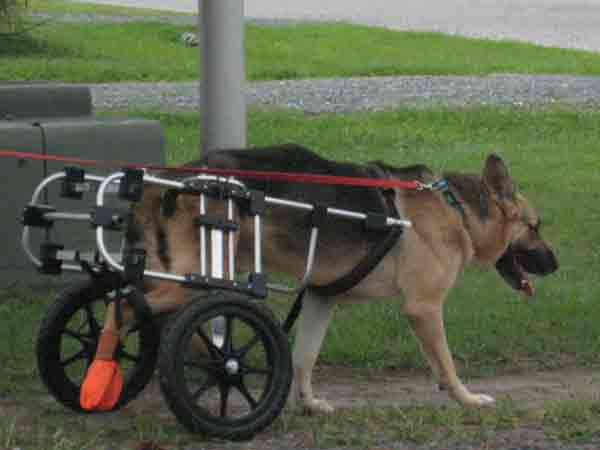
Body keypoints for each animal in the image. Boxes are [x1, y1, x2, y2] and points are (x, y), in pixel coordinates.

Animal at [97, 146, 556, 414]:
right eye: (534, 227)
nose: (555, 264)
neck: (455, 208)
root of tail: (173, 179)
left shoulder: (320, 299)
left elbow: (304, 357)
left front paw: (308, 403)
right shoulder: (424, 309)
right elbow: (445, 362)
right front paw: (466, 397)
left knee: (131, 302)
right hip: (197, 280)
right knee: (124, 304)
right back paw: (104, 377)